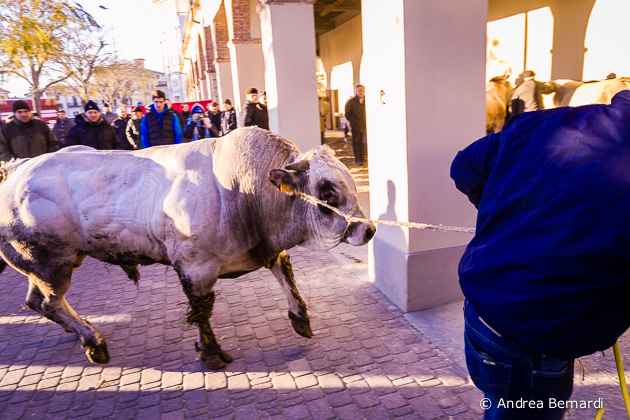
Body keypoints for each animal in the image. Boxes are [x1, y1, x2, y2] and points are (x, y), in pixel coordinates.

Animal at [0, 126, 376, 370]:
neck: (242, 192)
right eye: (327, 190)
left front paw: (301, 318)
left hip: (43, 266)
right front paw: (211, 355)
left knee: (36, 302)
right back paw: (94, 343)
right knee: (49, 302)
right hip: (51, 262)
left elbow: (287, 277)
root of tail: (17, 169)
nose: (369, 229)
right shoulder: (196, 267)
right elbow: (202, 311)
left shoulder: (266, 250)